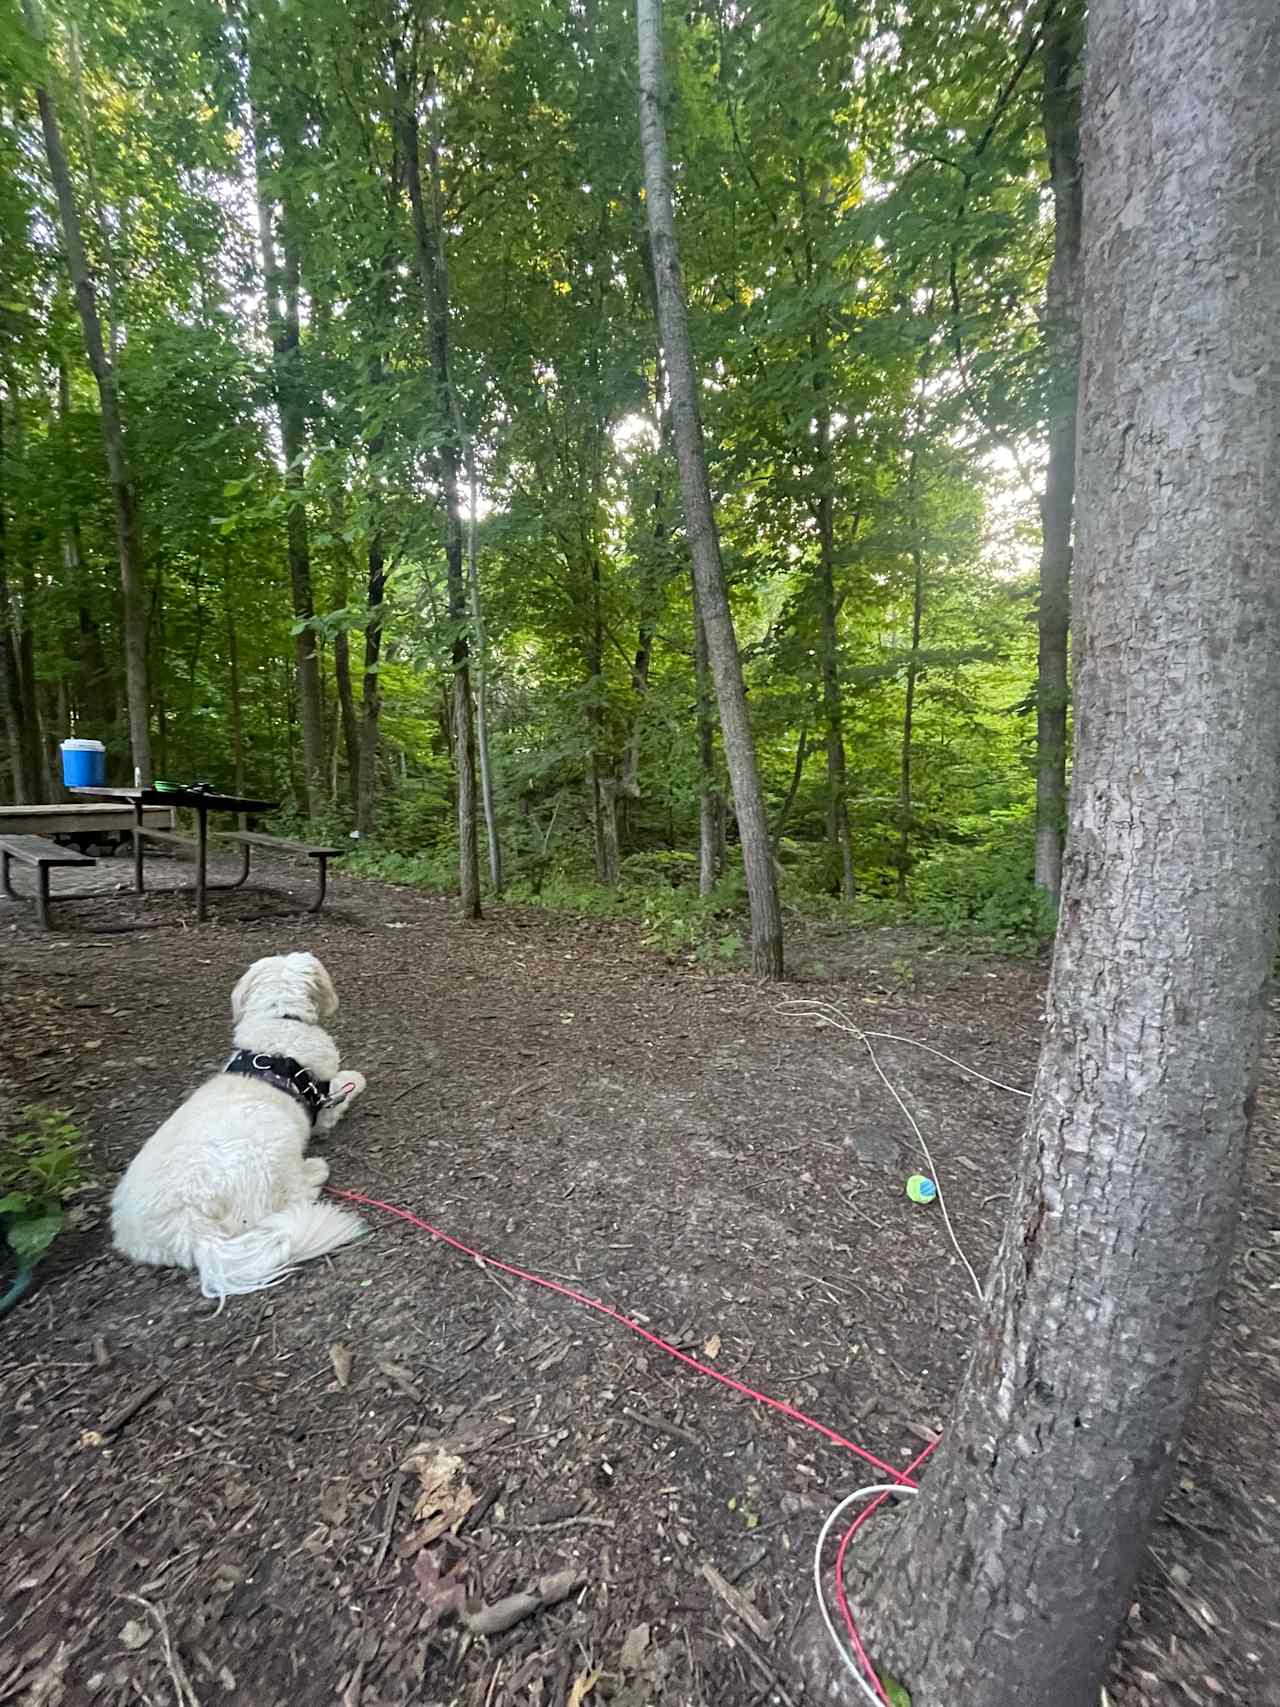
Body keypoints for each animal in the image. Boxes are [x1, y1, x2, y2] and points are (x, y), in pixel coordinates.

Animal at [112, 955, 368, 1297]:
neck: (279, 1020)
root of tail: (191, 1228)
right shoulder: (324, 1099)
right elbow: (344, 1086)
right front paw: (357, 1078)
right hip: (272, 1140)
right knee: (293, 1195)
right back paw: (315, 1170)